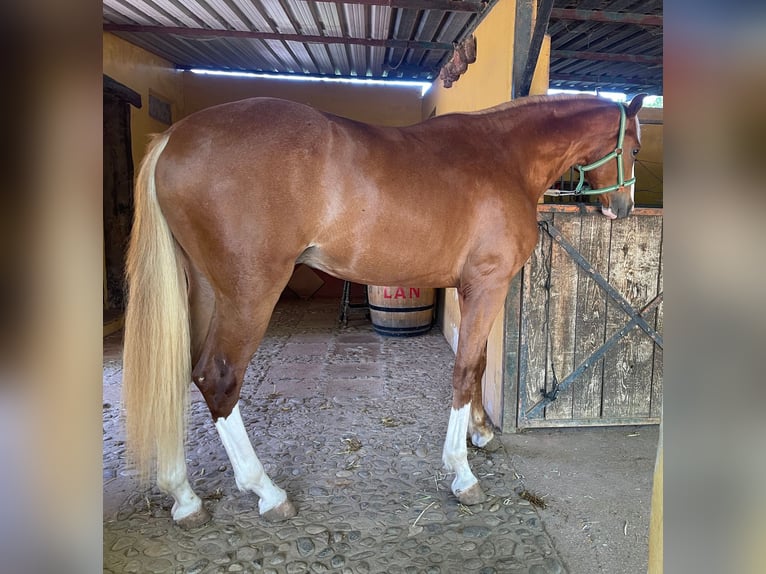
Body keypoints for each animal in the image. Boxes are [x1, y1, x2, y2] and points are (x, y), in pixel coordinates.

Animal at [123, 94, 644, 532]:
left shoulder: (473, 288)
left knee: (182, 374)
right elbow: (464, 370)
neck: (504, 157)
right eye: (636, 148)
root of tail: (176, 136)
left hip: (205, 290)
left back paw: (184, 497)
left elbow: (475, 366)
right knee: (218, 379)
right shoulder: (488, 284)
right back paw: (266, 492)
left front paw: (480, 434)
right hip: (249, 293)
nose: (624, 208)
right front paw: (462, 472)